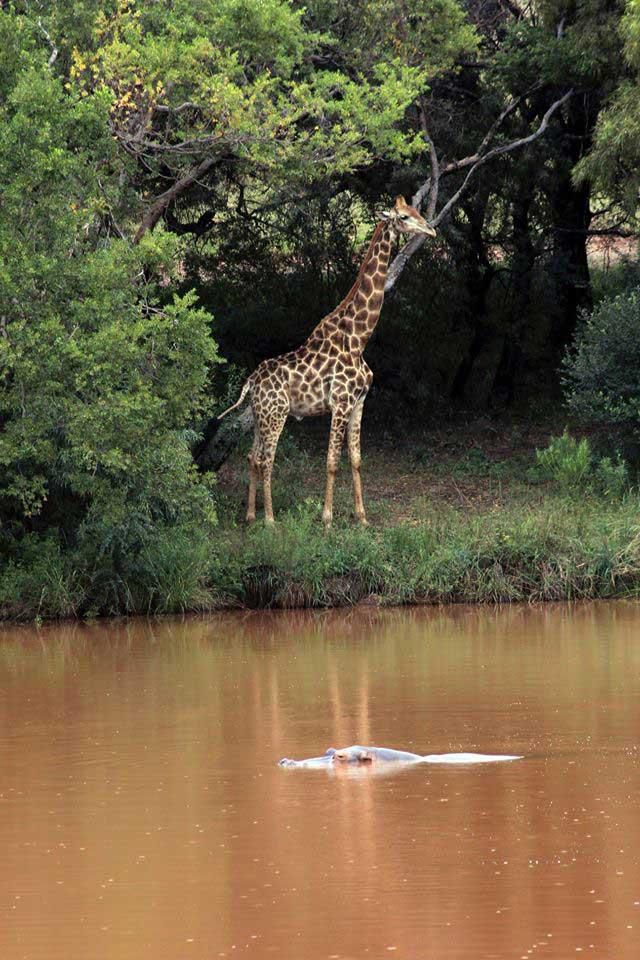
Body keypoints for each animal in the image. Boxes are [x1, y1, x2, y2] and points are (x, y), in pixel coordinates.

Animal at [218, 196, 436, 526]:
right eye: (403, 217)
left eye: (417, 211)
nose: (431, 230)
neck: (358, 339)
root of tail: (251, 382)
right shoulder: (341, 403)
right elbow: (332, 462)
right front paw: (328, 519)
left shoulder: (359, 402)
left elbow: (356, 460)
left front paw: (362, 518)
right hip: (277, 414)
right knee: (267, 459)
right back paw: (270, 520)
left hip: (259, 415)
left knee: (252, 456)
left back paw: (251, 515)